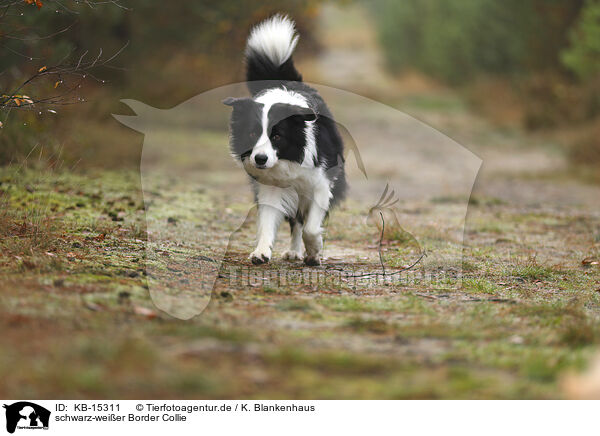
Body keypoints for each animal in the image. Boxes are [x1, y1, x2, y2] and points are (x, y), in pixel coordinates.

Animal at [224, 14, 346, 266]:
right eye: (252, 134)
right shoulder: (270, 186)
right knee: (295, 221)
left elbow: (311, 227)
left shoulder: (321, 184)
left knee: (302, 220)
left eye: (278, 136)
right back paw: (293, 251)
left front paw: (315, 251)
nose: (260, 159)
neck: (288, 159)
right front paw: (261, 252)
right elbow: (268, 220)